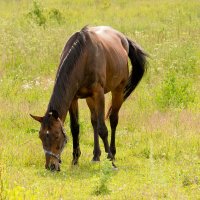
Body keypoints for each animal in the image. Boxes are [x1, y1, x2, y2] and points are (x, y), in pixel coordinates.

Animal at [30, 25, 148, 171]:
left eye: (57, 135)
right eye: (40, 136)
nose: (51, 166)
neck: (84, 56)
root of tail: (123, 38)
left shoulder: (99, 94)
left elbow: (103, 129)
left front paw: (111, 162)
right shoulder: (73, 98)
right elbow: (75, 128)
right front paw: (75, 160)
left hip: (118, 90)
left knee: (113, 119)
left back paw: (113, 154)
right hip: (89, 99)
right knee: (94, 121)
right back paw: (96, 156)